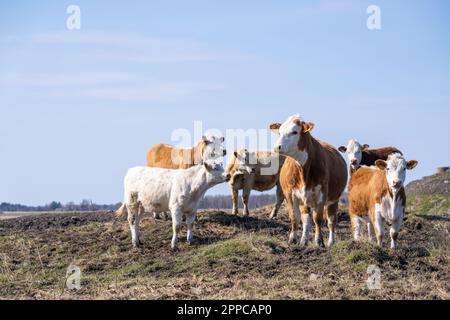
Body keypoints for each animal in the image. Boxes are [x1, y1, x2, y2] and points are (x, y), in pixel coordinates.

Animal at [270, 115, 348, 248]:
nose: (277, 147)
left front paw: (319, 241)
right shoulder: (290, 194)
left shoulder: (321, 194)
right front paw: (293, 239)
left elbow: (318, 219)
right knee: (306, 218)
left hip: (334, 200)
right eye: (279, 132)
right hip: (304, 200)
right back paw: (304, 240)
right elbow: (295, 217)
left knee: (331, 221)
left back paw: (331, 242)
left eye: (294, 132)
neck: (302, 170)